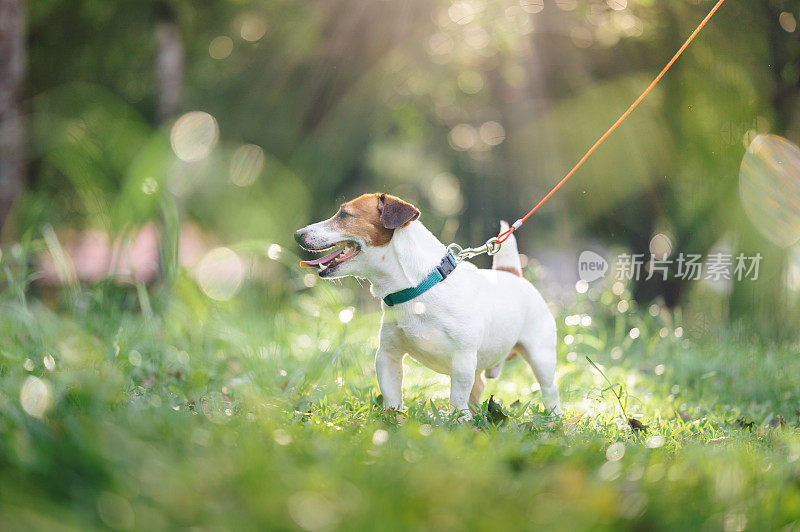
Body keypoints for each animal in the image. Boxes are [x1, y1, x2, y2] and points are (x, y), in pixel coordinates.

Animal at [296, 192, 564, 420]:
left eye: (344, 214)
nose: (298, 234)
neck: (418, 289)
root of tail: (511, 274)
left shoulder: (463, 359)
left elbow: (457, 397)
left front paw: (460, 423)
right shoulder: (388, 355)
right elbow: (392, 396)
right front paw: (392, 422)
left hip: (540, 356)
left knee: (549, 389)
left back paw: (555, 419)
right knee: (478, 386)